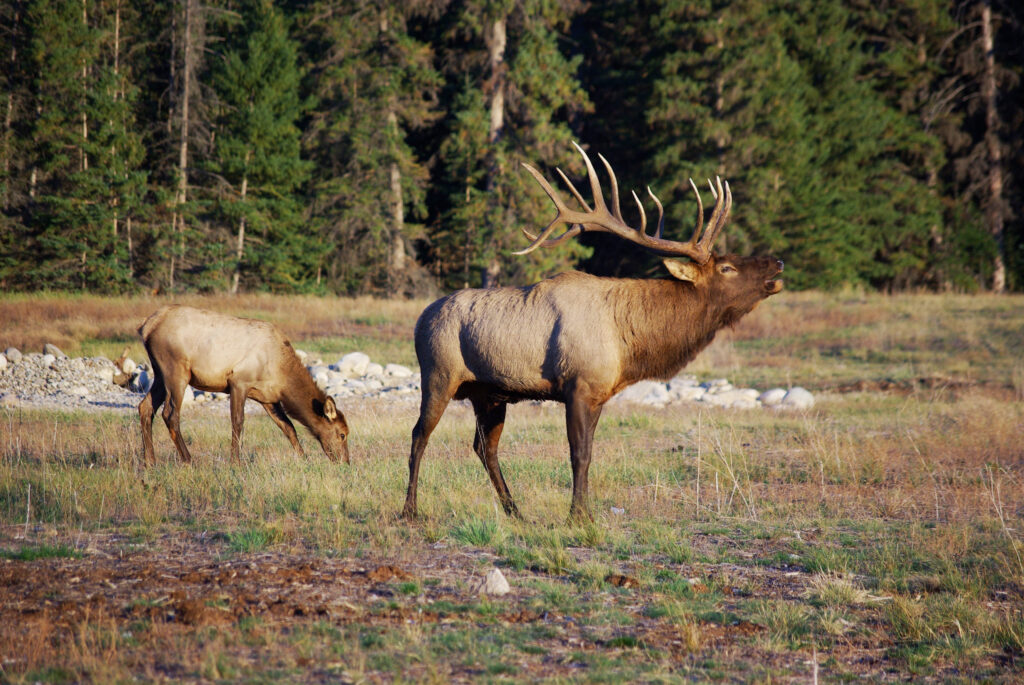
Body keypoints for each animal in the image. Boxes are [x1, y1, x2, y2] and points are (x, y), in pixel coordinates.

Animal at [138, 305, 350, 465]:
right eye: (342, 434)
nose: (345, 462)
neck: (282, 374)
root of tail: (146, 326)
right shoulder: (239, 382)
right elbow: (238, 422)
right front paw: (236, 462)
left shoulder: (269, 398)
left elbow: (288, 427)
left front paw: (304, 459)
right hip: (176, 370)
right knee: (170, 413)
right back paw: (188, 460)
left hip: (159, 373)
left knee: (145, 407)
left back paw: (150, 461)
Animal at [402, 143, 784, 522]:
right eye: (727, 267)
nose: (778, 263)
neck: (630, 345)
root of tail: (420, 319)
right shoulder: (578, 386)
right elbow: (579, 454)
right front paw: (578, 516)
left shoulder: (600, 394)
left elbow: (588, 453)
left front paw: (583, 512)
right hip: (439, 374)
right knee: (419, 435)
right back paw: (410, 510)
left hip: (490, 394)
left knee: (484, 447)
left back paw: (516, 512)